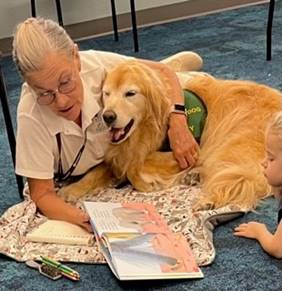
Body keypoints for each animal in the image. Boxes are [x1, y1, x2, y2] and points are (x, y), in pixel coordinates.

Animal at [60, 60, 282, 211]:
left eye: (130, 93)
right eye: (106, 94)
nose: (108, 116)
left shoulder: (187, 152)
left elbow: (134, 166)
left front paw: (146, 183)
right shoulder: (118, 154)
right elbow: (95, 173)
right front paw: (71, 190)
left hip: (228, 145)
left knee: (238, 177)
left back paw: (207, 198)